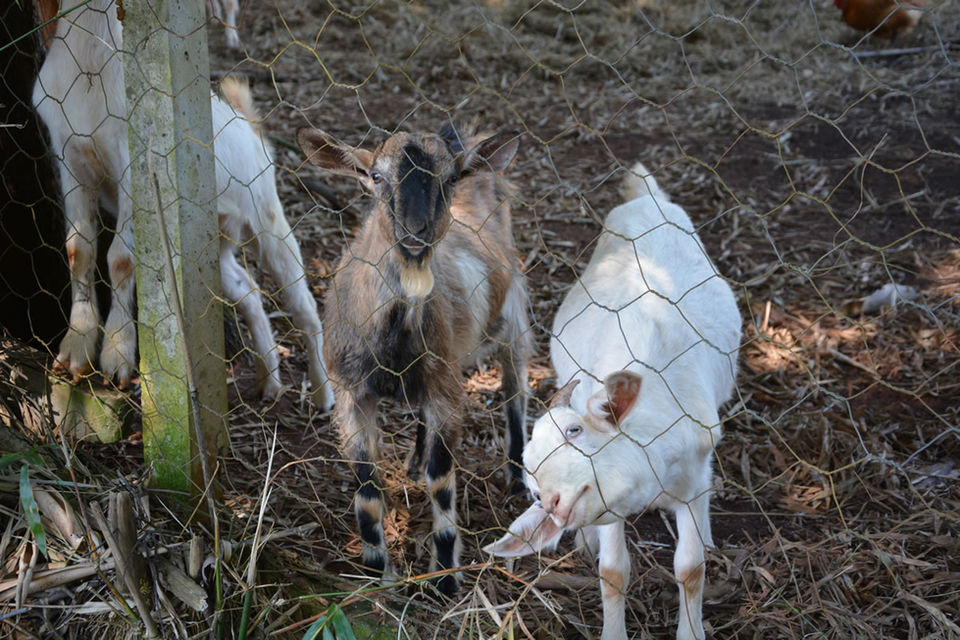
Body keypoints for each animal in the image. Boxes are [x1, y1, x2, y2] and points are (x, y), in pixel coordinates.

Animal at [31, 0, 334, 408]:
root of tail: (250, 129)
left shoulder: (134, 167)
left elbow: (121, 259)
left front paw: (117, 356)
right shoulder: (70, 159)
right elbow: (79, 250)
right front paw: (75, 350)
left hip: (267, 217)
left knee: (304, 307)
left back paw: (324, 394)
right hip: (211, 248)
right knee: (248, 291)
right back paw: (269, 380)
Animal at [297, 122, 530, 595]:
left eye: (449, 178)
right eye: (375, 176)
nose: (416, 230)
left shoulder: (447, 392)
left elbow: (441, 481)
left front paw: (446, 577)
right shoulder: (352, 396)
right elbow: (367, 493)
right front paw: (375, 573)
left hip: (512, 313)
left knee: (516, 389)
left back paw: (517, 478)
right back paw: (413, 461)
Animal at [485, 163, 741, 640]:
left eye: (575, 431)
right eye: (532, 486)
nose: (552, 503)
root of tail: (644, 196)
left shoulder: (693, 477)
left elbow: (690, 567)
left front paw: (691, 628)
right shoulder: (610, 510)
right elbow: (613, 572)